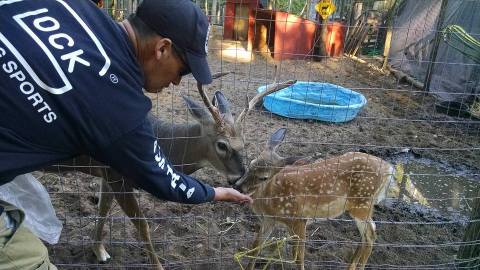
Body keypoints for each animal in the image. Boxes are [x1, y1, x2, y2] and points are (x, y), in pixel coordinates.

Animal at [234, 129, 396, 270]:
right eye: (251, 164)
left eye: (264, 177)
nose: (238, 186)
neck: (269, 198)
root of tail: (389, 168)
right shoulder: (269, 219)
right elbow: (256, 247)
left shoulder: (299, 219)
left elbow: (298, 257)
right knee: (365, 236)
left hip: (362, 203)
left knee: (370, 235)